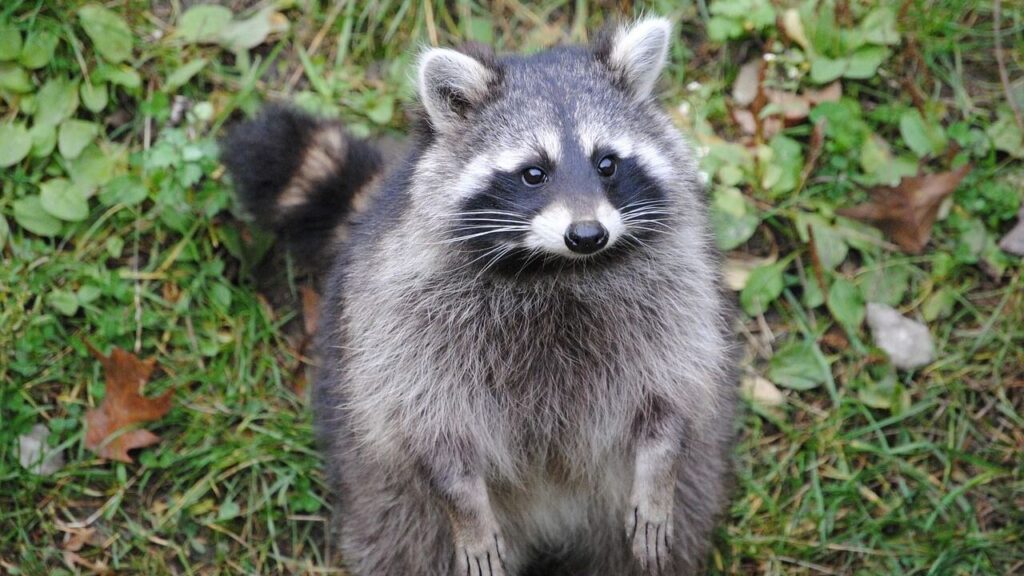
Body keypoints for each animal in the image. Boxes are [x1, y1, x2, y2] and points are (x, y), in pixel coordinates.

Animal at [223, 17, 738, 576]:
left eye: (607, 164)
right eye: (533, 173)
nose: (587, 235)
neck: (553, 268)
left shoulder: (674, 286)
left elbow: (671, 389)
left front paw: (658, 466)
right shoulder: (403, 313)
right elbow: (428, 422)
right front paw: (463, 502)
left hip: (676, 488)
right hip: (385, 493)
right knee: (405, 543)